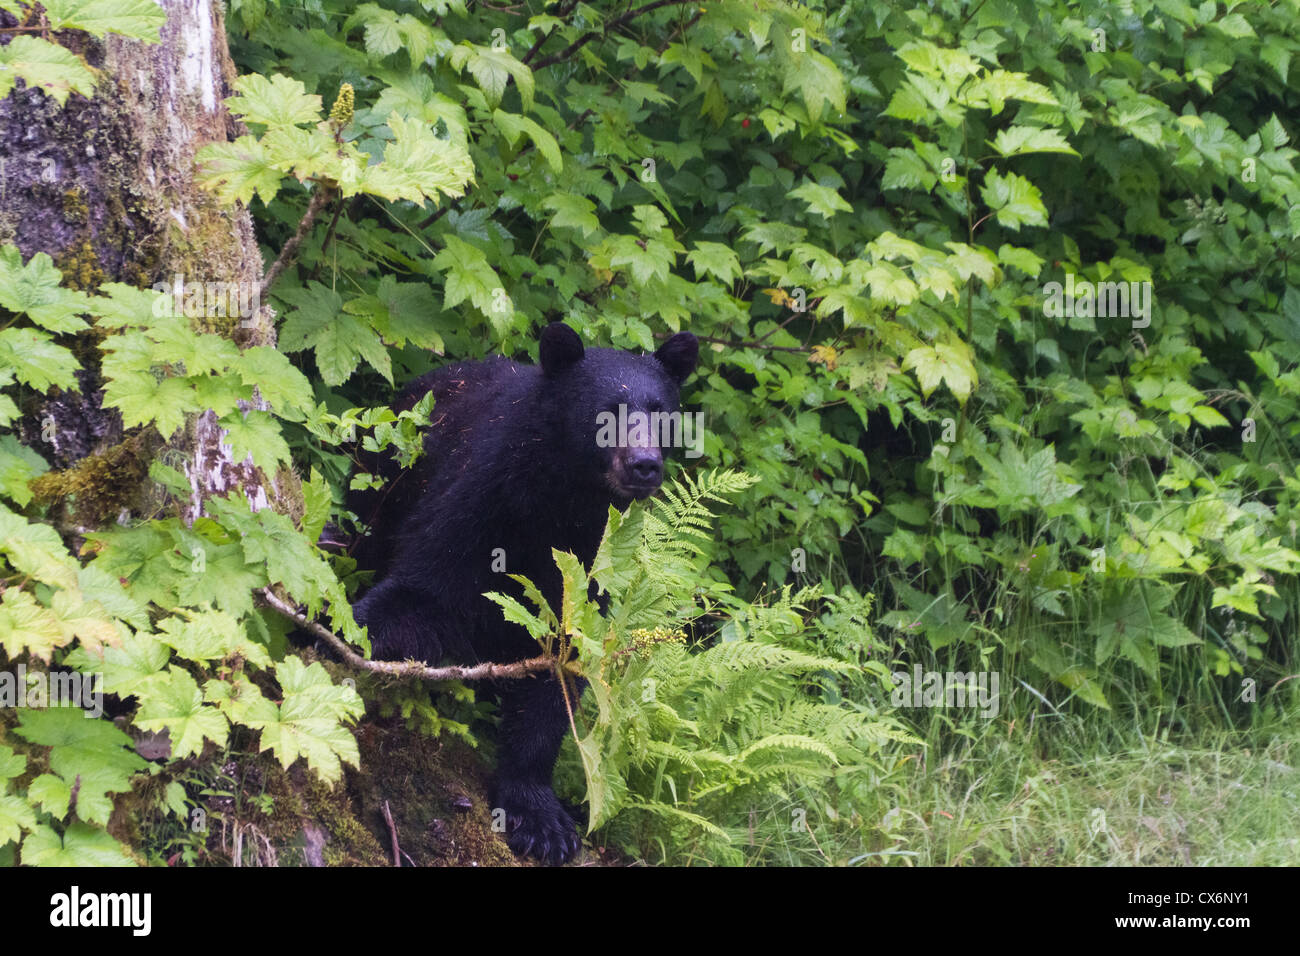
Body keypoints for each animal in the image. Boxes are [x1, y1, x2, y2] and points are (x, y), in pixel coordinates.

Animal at [353, 323, 702, 868]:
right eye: (605, 412)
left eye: (661, 411)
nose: (644, 465)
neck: (557, 503)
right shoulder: (477, 502)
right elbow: (422, 591)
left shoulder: (587, 565)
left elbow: (557, 672)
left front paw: (540, 819)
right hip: (384, 482)